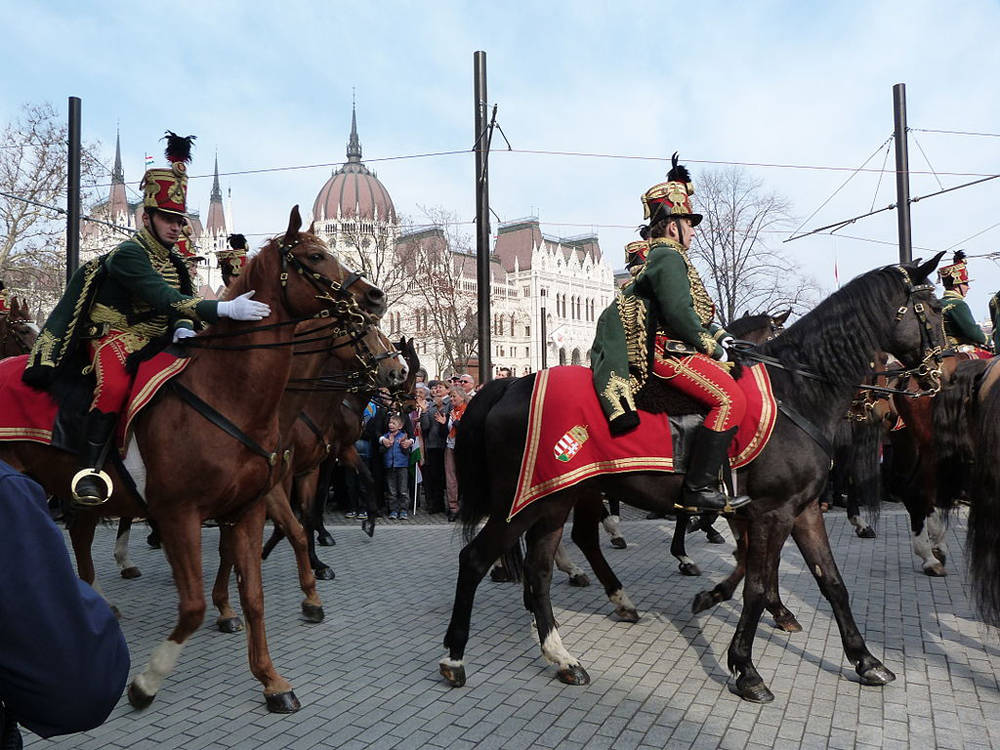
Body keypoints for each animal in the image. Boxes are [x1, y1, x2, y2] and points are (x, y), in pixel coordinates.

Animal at [0, 207, 386, 716]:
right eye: (316, 256)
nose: (375, 297)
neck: (231, 392)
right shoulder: (181, 512)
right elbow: (194, 604)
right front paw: (147, 681)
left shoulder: (248, 506)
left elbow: (255, 590)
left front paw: (271, 679)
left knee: (81, 538)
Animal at [444, 258, 944, 704]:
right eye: (931, 309)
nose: (933, 376)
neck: (797, 393)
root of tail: (510, 385)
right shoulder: (770, 513)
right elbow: (756, 582)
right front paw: (745, 668)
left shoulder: (801, 511)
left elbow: (831, 582)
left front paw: (866, 661)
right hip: (525, 502)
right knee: (476, 558)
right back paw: (455, 657)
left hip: (555, 500)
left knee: (543, 569)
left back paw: (564, 653)